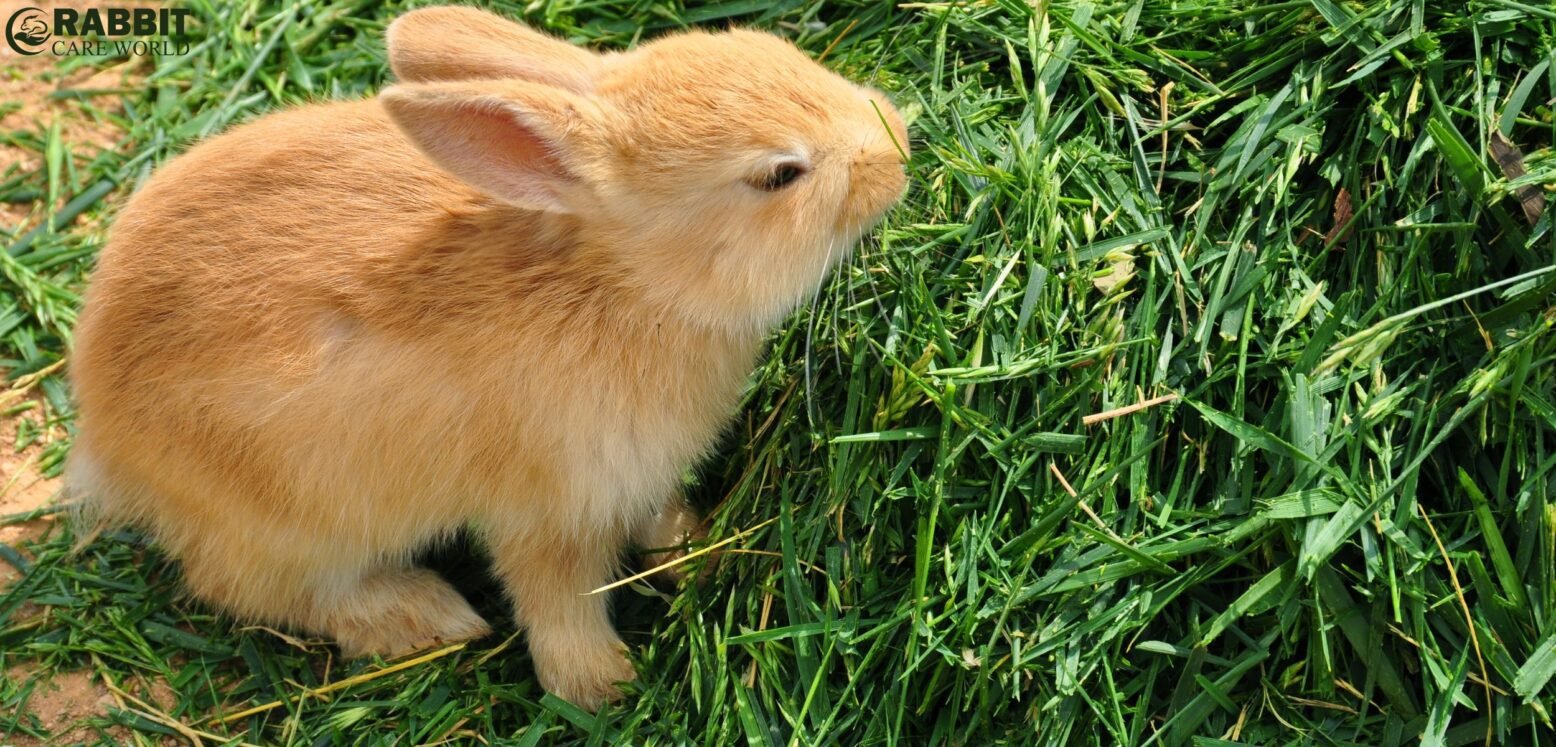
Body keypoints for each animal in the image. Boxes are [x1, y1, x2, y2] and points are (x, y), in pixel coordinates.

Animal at [63, 5, 908, 709]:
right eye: (778, 175)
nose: (897, 143)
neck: (625, 287)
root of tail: (103, 431)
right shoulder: (549, 509)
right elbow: (557, 598)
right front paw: (602, 685)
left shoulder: (635, 478)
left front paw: (696, 548)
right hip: (290, 523)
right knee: (255, 588)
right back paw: (424, 614)